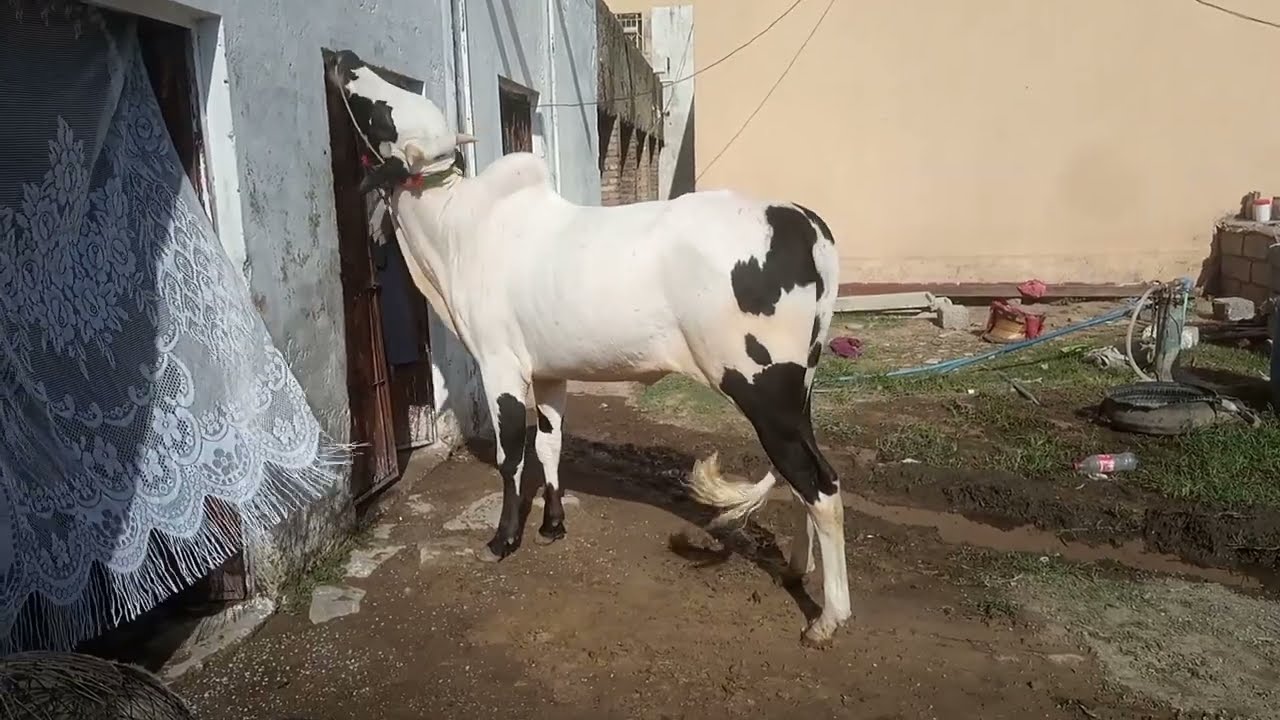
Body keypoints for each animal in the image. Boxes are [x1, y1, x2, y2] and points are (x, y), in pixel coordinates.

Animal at [326, 51, 850, 646]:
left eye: (382, 111)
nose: (344, 57)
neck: (457, 227)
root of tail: (802, 220)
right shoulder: (549, 371)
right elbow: (550, 445)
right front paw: (552, 523)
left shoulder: (500, 365)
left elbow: (512, 454)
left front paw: (504, 539)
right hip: (798, 393)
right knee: (807, 479)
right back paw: (796, 568)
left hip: (765, 392)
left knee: (820, 485)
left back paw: (828, 616)